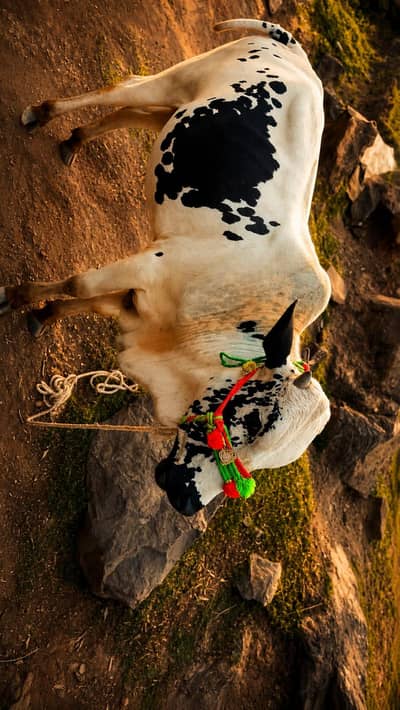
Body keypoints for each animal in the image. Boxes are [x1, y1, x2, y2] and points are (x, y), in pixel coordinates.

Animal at [0, 19, 331, 515]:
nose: (187, 499)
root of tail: (296, 51)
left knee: (134, 113)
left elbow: (91, 303)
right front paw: (16, 298)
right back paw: (42, 114)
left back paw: (74, 140)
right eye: (256, 423)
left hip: (177, 111)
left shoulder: (141, 300)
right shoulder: (148, 267)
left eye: (275, 460)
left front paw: (43, 315)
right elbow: (79, 284)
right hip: (181, 77)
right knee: (123, 91)